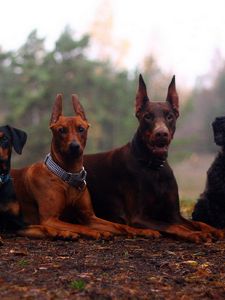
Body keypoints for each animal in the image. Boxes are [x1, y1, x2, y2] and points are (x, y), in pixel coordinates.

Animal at [10, 94, 158, 239]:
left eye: (81, 129)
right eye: (61, 130)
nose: (74, 146)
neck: (68, 175)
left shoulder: (90, 217)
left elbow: (119, 226)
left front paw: (143, 231)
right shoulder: (50, 219)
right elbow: (79, 226)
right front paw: (95, 232)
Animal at [84, 76, 223, 243]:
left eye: (169, 116)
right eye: (148, 116)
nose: (161, 133)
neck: (153, 167)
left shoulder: (174, 214)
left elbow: (198, 223)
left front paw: (215, 230)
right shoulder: (138, 217)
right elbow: (174, 226)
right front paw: (195, 234)